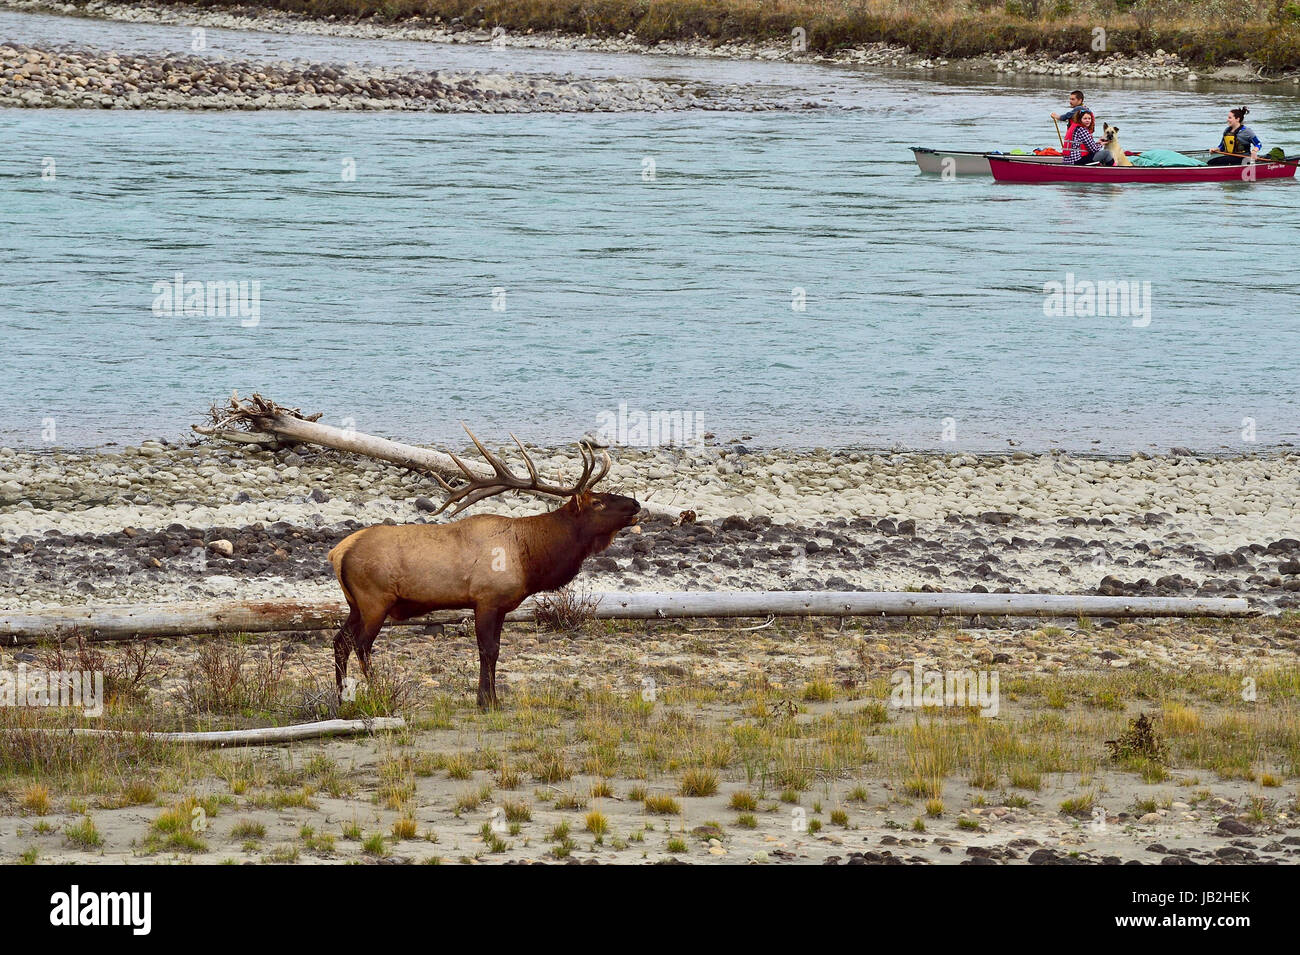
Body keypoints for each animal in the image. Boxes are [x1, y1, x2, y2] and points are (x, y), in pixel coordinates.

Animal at [325, 428, 639, 706]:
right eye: (598, 502)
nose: (636, 504)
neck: (530, 557)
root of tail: (337, 552)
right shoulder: (487, 599)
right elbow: (488, 651)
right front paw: (487, 701)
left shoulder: (501, 606)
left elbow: (495, 651)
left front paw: (488, 698)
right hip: (375, 600)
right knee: (361, 645)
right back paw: (377, 692)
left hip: (355, 604)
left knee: (340, 642)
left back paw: (341, 698)